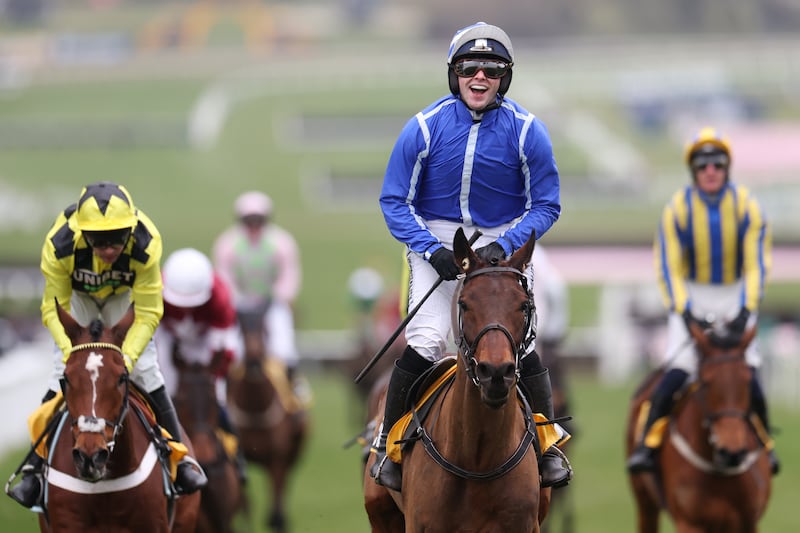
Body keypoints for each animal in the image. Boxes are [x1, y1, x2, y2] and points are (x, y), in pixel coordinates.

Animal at [230, 318, 310, 528]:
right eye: (241, 332)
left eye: (264, 331)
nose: (254, 363)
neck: (256, 411)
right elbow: (245, 505)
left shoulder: (278, 458)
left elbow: (276, 514)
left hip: (292, 455)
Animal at [624, 320, 776, 532]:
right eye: (705, 382)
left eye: (747, 381)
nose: (731, 452)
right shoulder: (690, 523)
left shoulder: (747, 523)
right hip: (644, 499)